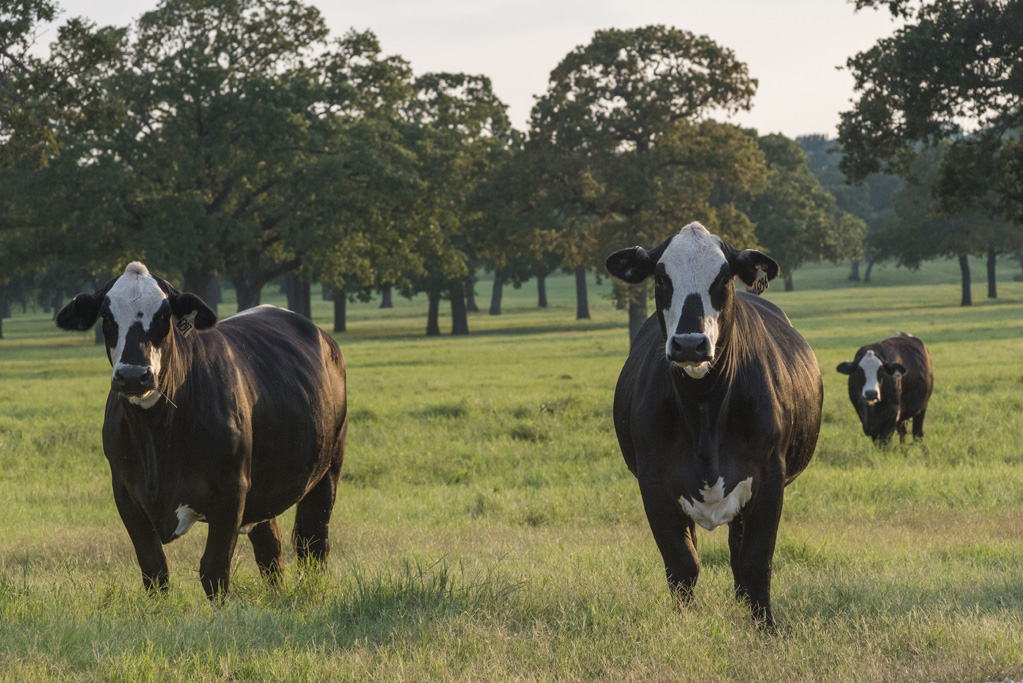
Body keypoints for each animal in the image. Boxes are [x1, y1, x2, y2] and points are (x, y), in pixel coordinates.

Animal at [56, 262, 348, 599]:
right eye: (106, 316)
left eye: (163, 315)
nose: (132, 375)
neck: (155, 436)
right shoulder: (125, 492)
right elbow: (154, 569)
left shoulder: (231, 489)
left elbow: (214, 569)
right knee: (270, 549)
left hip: (327, 469)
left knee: (312, 541)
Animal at [605, 222, 822, 628]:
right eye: (661, 277)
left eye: (723, 278)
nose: (690, 344)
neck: (704, 406)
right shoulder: (654, 482)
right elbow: (682, 563)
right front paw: (682, 624)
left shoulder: (769, 478)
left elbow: (755, 561)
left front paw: (765, 627)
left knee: (738, 550)